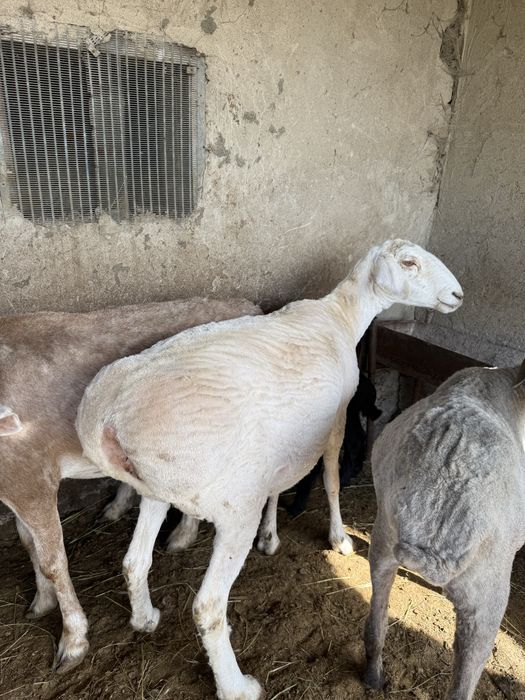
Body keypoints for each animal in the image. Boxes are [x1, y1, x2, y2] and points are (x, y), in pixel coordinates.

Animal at [0, 297, 260, 673]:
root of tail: (251, 304)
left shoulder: (31, 476)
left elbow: (52, 561)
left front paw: (73, 641)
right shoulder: (16, 483)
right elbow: (27, 543)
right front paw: (41, 601)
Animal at [76, 239, 463, 700]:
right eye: (409, 262)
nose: (458, 294)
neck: (340, 316)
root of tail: (105, 417)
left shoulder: (286, 440)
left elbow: (281, 483)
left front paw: (271, 534)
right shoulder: (335, 421)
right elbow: (331, 480)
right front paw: (339, 538)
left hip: (157, 487)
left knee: (134, 562)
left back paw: (146, 617)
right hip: (231, 503)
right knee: (207, 606)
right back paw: (236, 685)